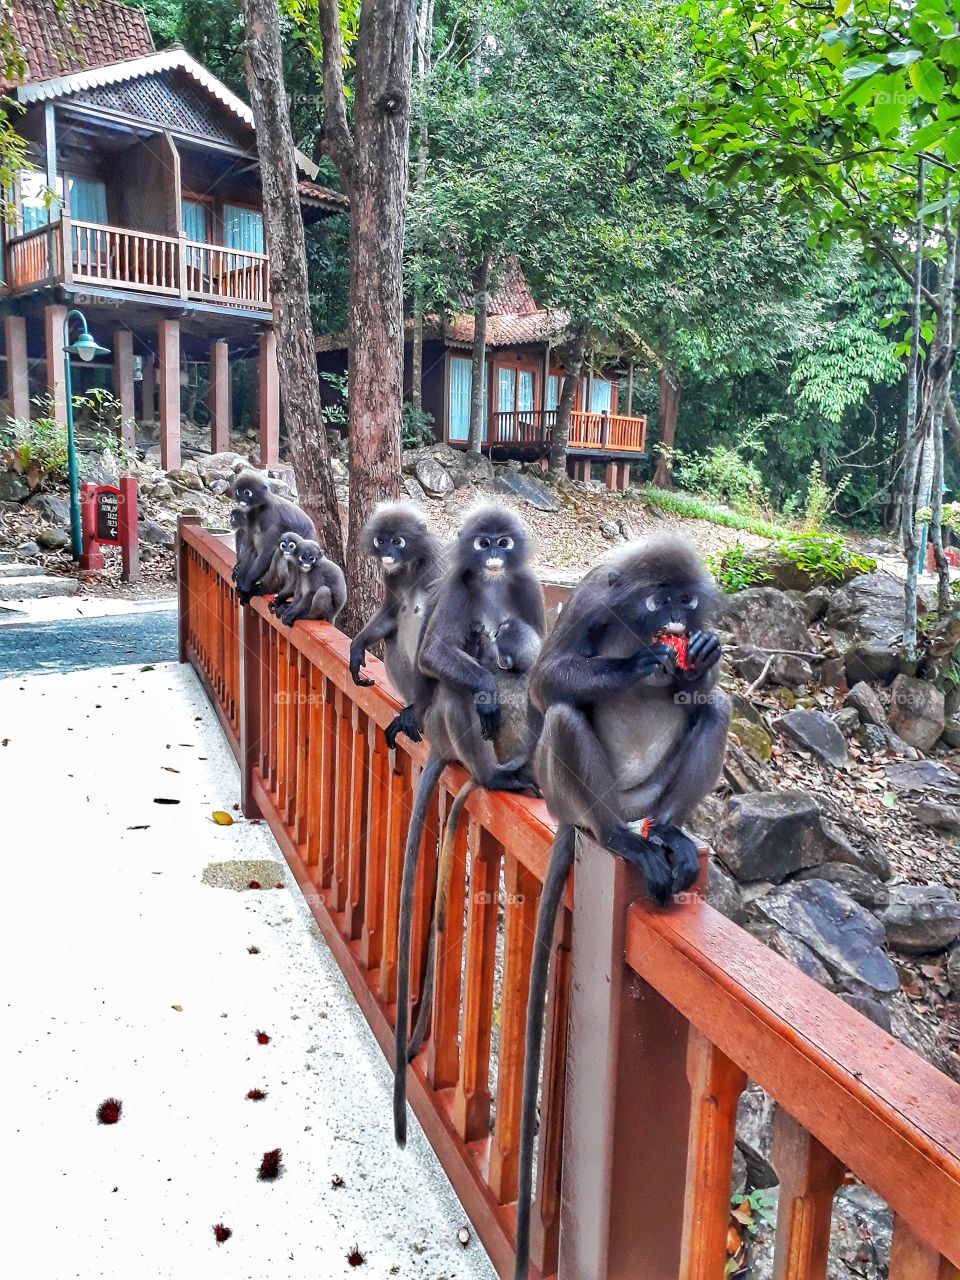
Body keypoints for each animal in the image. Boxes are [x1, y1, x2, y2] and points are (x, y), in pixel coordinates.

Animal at [230, 471, 315, 605]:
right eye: (239, 491)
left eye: (247, 492)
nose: (242, 499)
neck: (260, 509)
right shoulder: (250, 515)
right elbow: (252, 549)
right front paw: (240, 581)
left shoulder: (275, 520)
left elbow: (268, 552)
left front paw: (246, 586)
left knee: (279, 553)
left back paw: (266, 589)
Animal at [348, 502, 445, 750]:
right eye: (381, 541)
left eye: (397, 541)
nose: (387, 554)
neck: (412, 565)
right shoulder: (391, 576)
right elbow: (391, 615)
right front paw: (356, 649)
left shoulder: (436, 572)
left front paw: (412, 716)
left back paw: (417, 715)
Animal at [512, 536, 731, 1280]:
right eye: (660, 599)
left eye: (687, 601)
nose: (679, 621)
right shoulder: (589, 600)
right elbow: (545, 686)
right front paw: (639, 665)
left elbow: (703, 691)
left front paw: (704, 653)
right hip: (575, 793)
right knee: (563, 714)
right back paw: (615, 839)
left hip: (650, 790)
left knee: (714, 712)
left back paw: (668, 833)